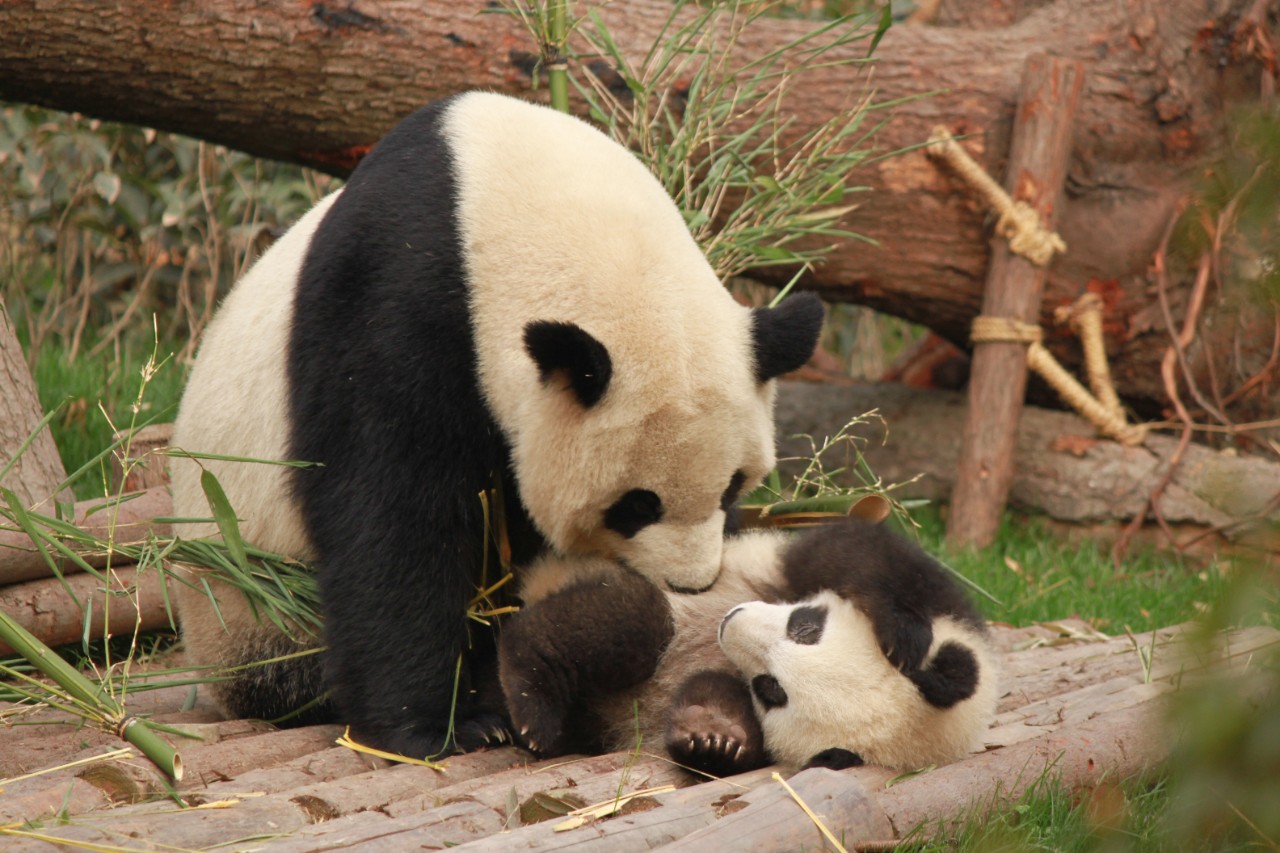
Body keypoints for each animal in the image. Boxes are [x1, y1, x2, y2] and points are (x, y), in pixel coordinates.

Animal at [170, 91, 824, 758]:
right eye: (637, 504)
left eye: (733, 486)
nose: (690, 584)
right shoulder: (393, 302)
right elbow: (391, 518)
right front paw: (432, 728)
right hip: (249, 599)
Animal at [499, 514, 998, 773]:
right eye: (805, 626)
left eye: (771, 689)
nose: (730, 623)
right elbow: (857, 550)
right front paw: (902, 631)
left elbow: (721, 705)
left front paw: (713, 736)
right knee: (630, 621)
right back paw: (531, 699)